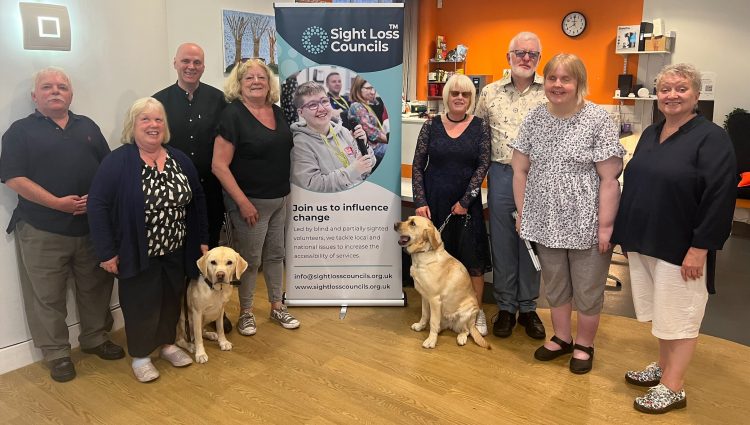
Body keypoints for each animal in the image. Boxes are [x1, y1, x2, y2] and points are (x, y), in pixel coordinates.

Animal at [396, 215, 490, 348]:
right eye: (408, 219)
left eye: (412, 223)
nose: (395, 224)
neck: (424, 253)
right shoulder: (425, 297)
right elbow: (425, 315)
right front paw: (420, 326)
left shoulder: (434, 299)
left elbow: (433, 321)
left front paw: (431, 340)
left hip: (465, 313)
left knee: (466, 330)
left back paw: (461, 338)